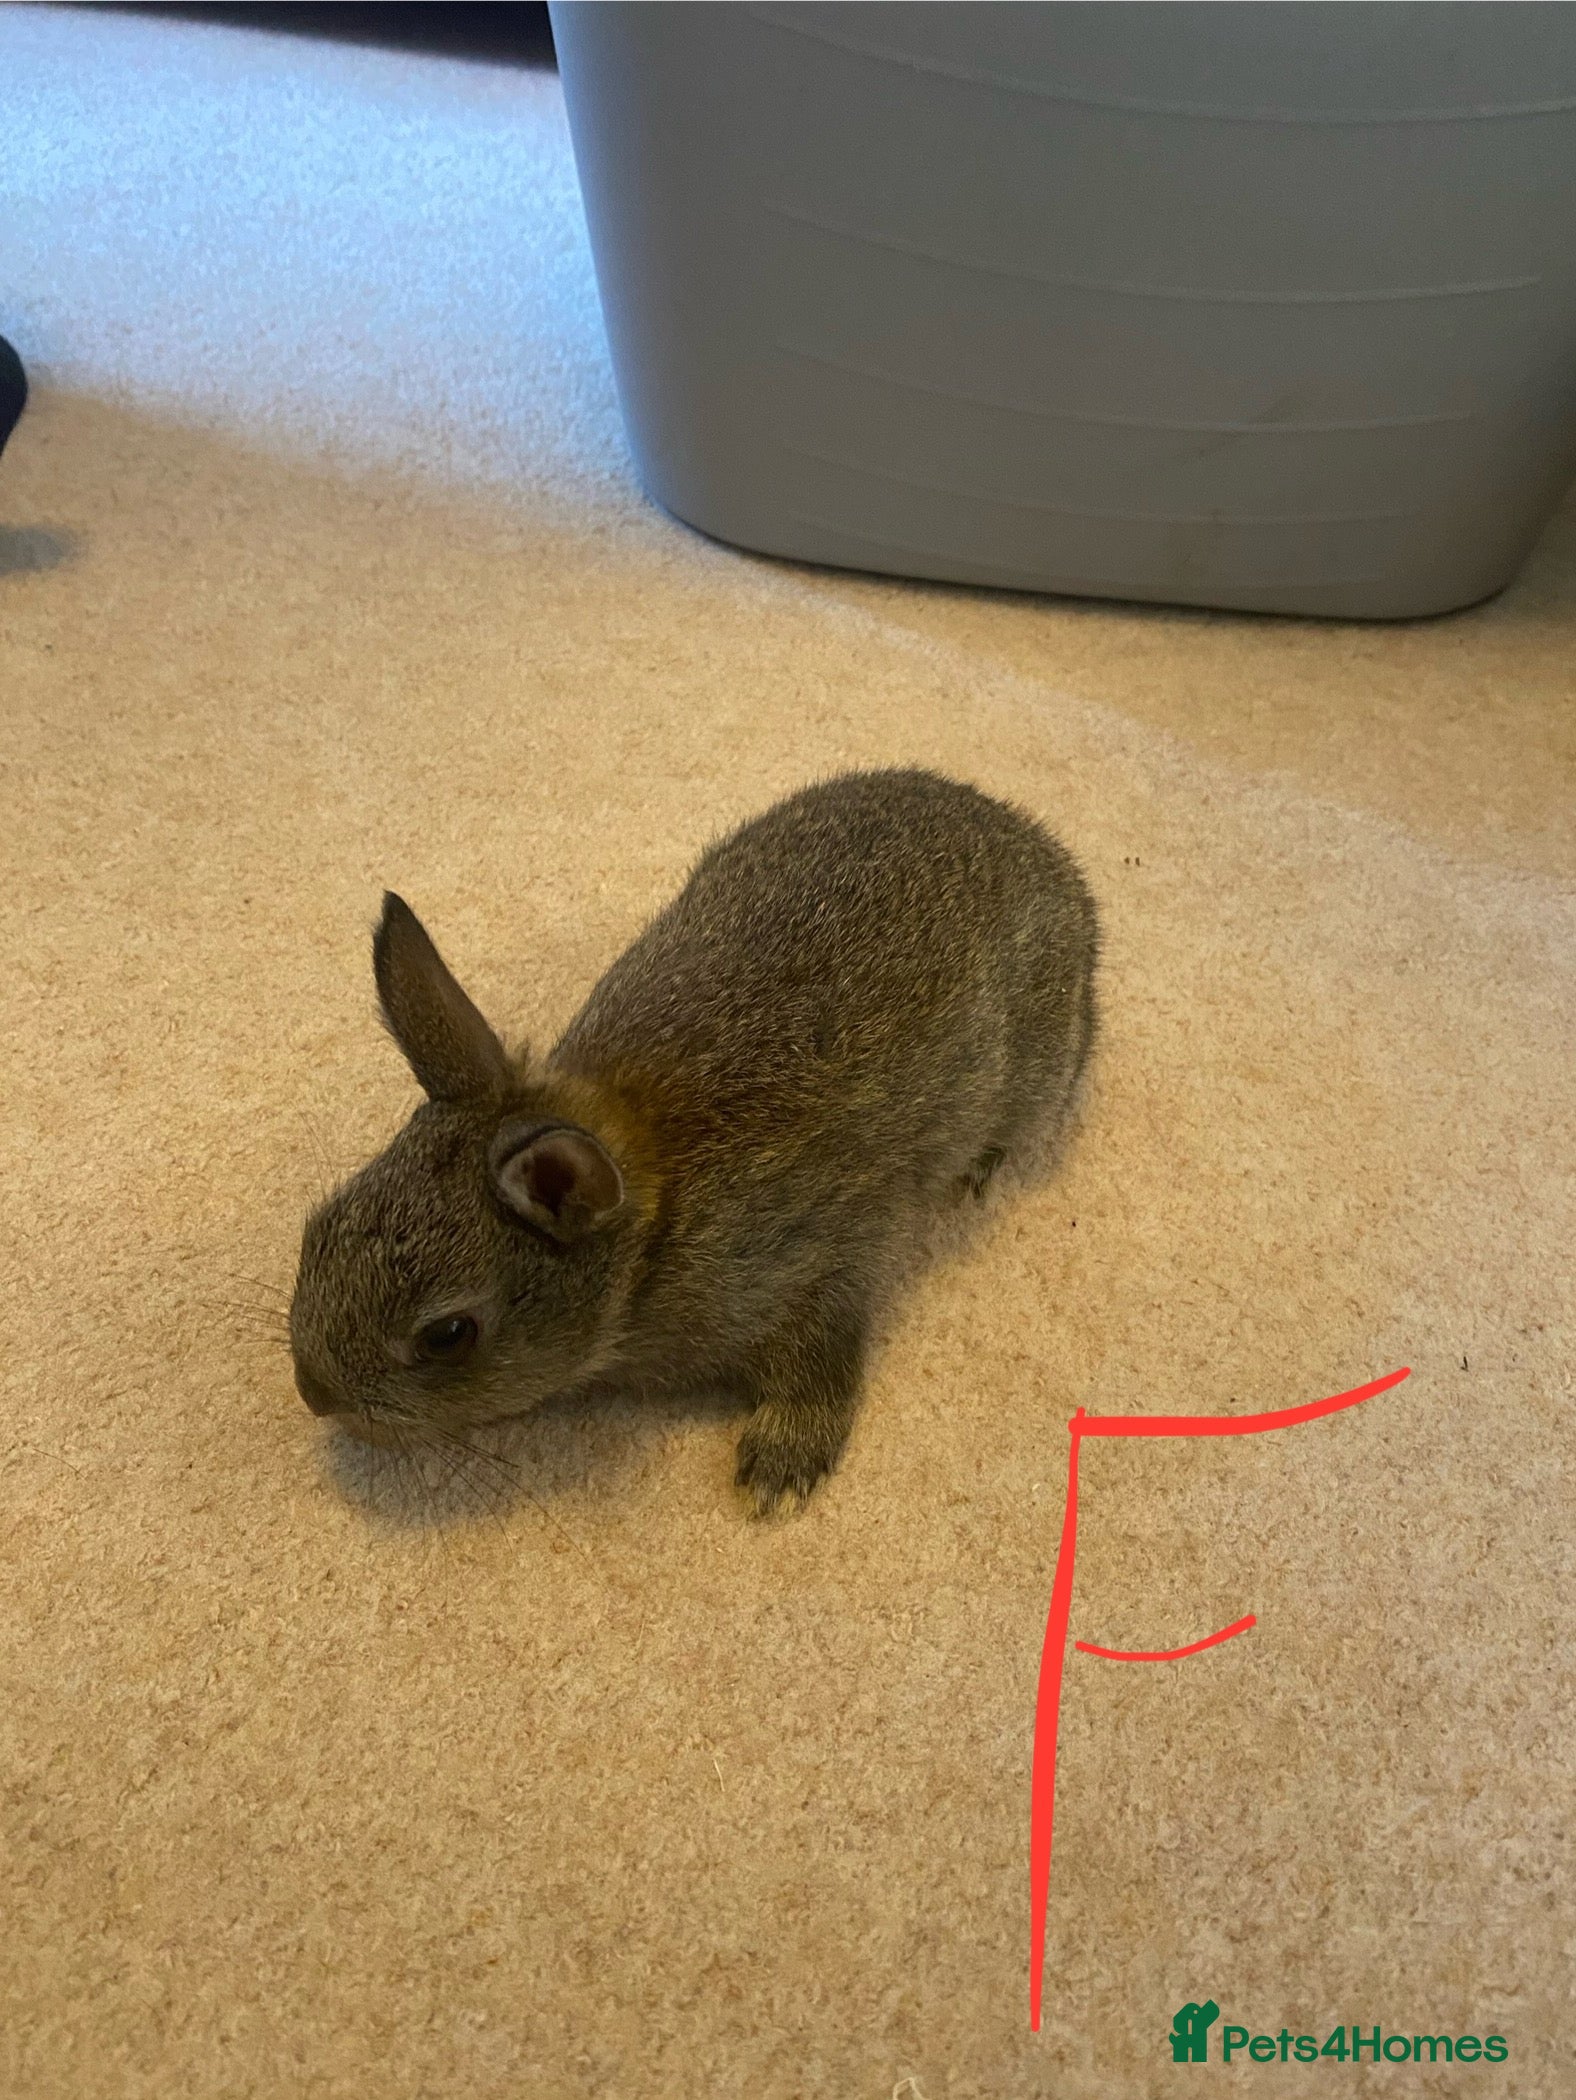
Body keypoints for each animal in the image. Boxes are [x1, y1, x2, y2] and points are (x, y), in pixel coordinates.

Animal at [289, 768, 1099, 1515]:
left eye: (448, 1334)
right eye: (318, 1227)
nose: (313, 1392)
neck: (646, 1240)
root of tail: (1055, 866)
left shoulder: (818, 1262)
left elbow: (825, 1353)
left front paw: (780, 1468)